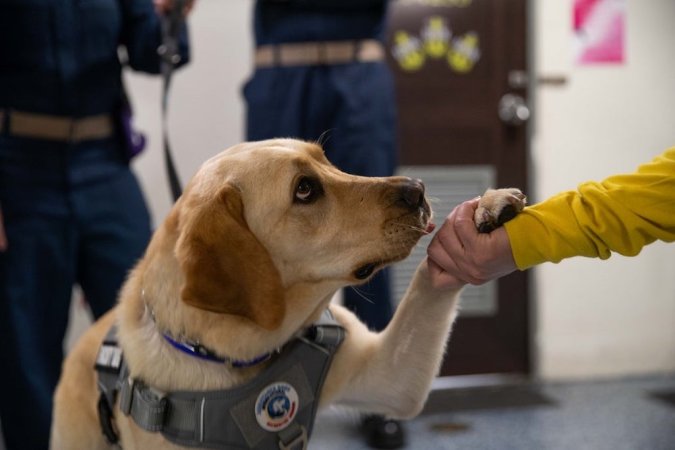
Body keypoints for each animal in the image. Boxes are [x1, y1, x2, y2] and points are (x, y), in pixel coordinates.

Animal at [51, 139, 528, 448]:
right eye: (305, 189)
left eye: (327, 161)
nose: (417, 189)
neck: (241, 357)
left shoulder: (390, 379)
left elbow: (427, 284)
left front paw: (486, 209)